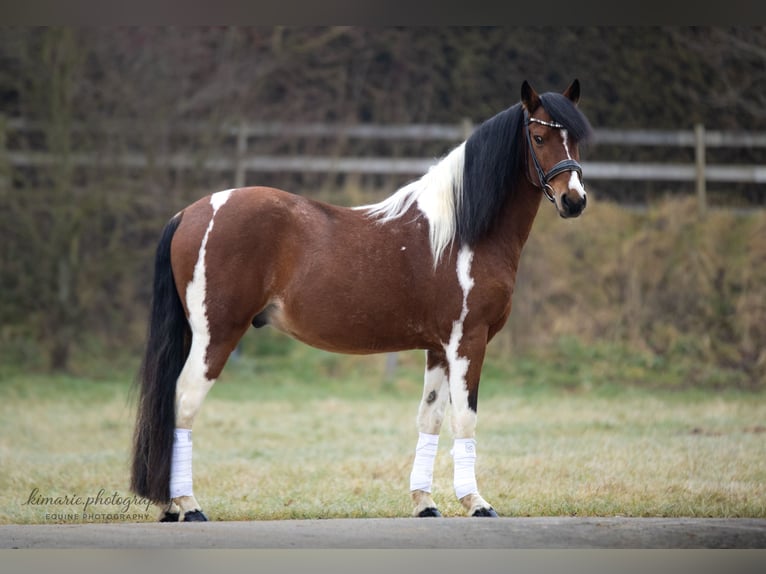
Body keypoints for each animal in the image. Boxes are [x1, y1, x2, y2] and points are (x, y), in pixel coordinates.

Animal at [131, 79, 592, 521]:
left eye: (575, 138)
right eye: (537, 137)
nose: (574, 200)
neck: (464, 232)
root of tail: (190, 214)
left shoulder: (438, 348)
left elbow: (430, 417)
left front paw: (424, 503)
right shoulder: (468, 341)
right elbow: (465, 419)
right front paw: (476, 503)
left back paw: (170, 506)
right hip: (216, 335)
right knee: (183, 403)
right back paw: (188, 505)